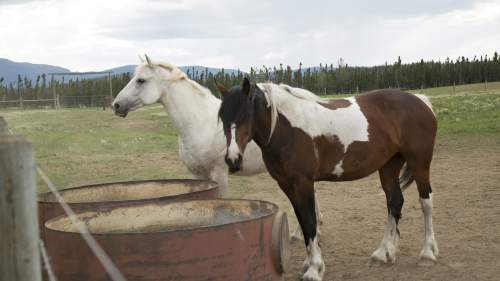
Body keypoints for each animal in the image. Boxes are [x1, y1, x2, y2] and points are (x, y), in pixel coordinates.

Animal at [217, 77, 440, 278]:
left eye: (247, 114)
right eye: (223, 117)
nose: (233, 159)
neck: (287, 128)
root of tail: (421, 101)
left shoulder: (303, 183)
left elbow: (310, 222)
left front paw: (315, 269)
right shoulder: (287, 185)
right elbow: (303, 222)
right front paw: (309, 263)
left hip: (419, 163)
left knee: (426, 202)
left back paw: (427, 253)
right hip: (389, 166)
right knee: (394, 202)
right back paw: (384, 253)